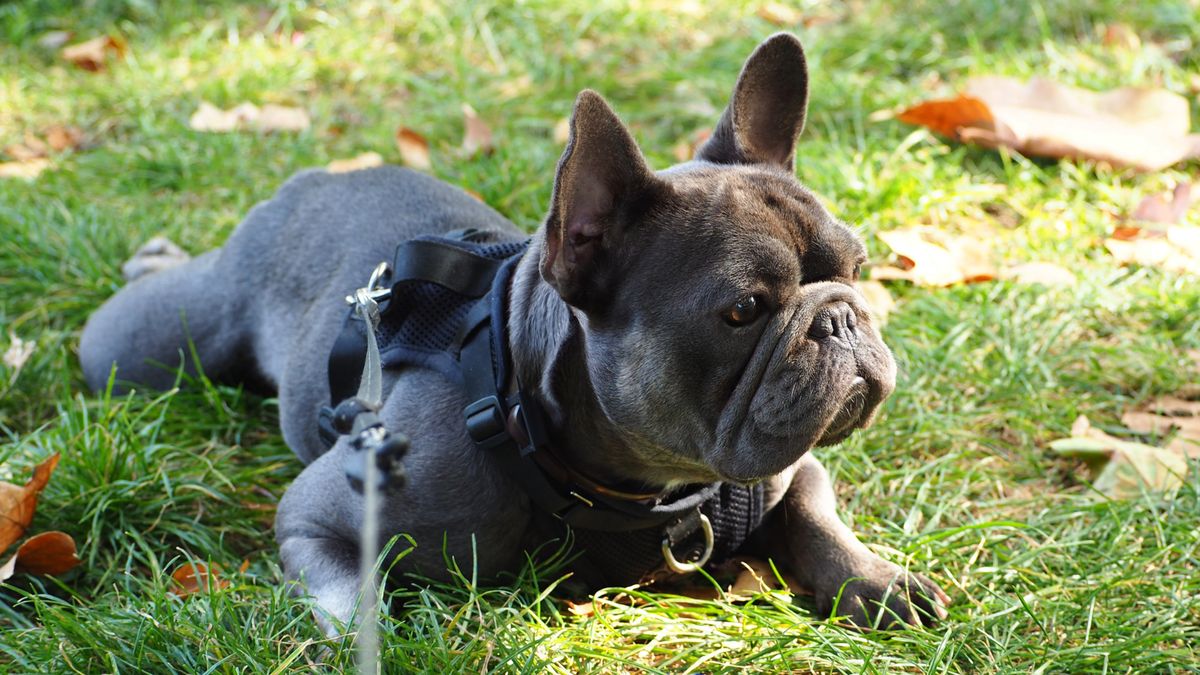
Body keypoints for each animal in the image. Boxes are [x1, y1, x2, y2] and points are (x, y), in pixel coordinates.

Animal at [79, 31, 950, 629]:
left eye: (859, 268)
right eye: (742, 311)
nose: (839, 318)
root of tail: (320, 177)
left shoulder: (792, 470)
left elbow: (816, 514)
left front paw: (879, 580)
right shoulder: (316, 517)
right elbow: (351, 598)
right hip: (144, 350)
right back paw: (151, 257)